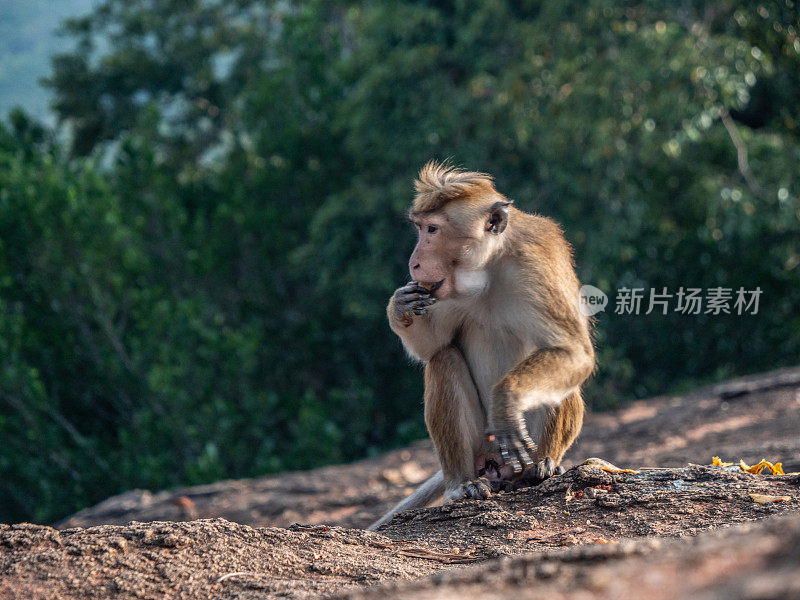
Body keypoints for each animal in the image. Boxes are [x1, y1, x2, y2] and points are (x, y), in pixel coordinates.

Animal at [368, 161, 592, 528]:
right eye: (420, 228)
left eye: (433, 229)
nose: (414, 263)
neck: (489, 265)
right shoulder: (439, 289)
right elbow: (433, 345)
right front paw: (398, 306)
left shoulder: (538, 262)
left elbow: (572, 350)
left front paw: (505, 401)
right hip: (479, 449)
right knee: (444, 360)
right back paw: (462, 484)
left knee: (562, 371)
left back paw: (542, 467)